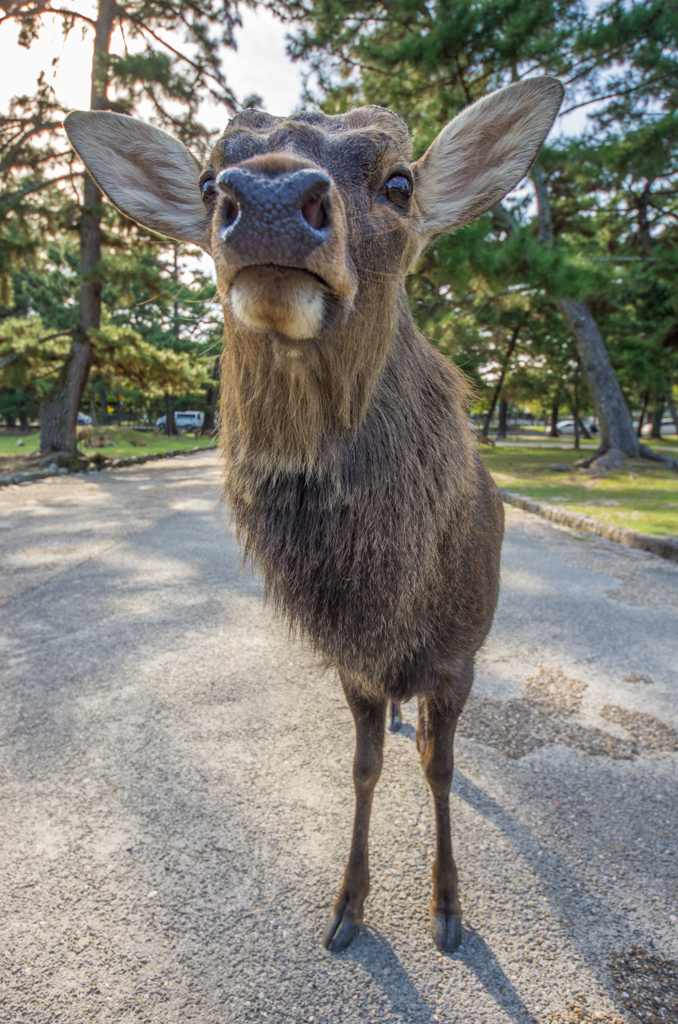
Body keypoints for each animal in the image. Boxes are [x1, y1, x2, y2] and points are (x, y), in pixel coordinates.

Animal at [65, 77, 561, 950]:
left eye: (399, 181)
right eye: (207, 181)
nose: (266, 198)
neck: (388, 600)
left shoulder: (457, 655)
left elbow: (441, 767)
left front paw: (448, 909)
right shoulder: (353, 662)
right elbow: (362, 768)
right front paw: (346, 908)